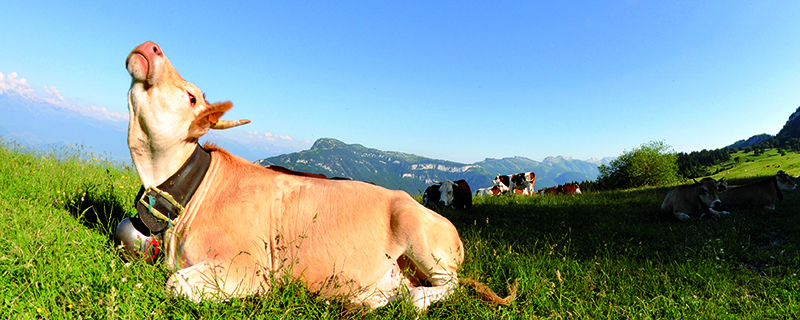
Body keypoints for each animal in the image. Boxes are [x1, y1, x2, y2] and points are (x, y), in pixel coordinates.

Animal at [121, 41, 516, 312]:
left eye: (191, 97)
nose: (151, 46)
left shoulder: (249, 267)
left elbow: (174, 285)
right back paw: (374, 297)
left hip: (421, 236)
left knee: (451, 285)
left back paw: (415, 299)